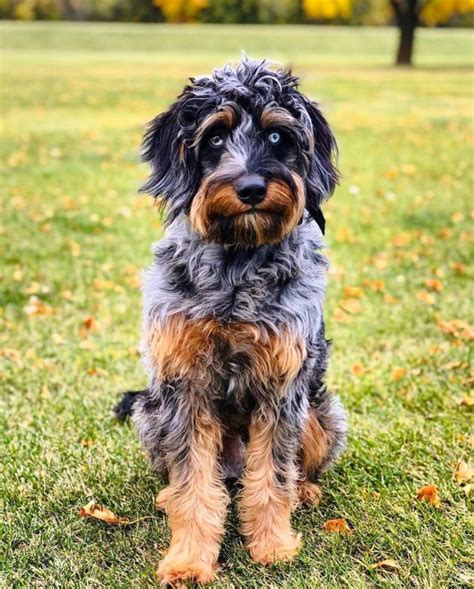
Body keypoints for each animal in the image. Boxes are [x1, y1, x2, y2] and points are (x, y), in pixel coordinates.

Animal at [117, 57, 348, 584]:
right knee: (189, 477)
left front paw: (274, 545)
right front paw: (188, 559)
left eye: (278, 136)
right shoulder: (184, 387)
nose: (251, 188)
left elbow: (274, 477)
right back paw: (167, 496)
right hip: (149, 413)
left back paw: (304, 492)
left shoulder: (281, 389)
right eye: (215, 137)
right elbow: (194, 486)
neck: (237, 270)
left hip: (323, 413)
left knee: (288, 469)